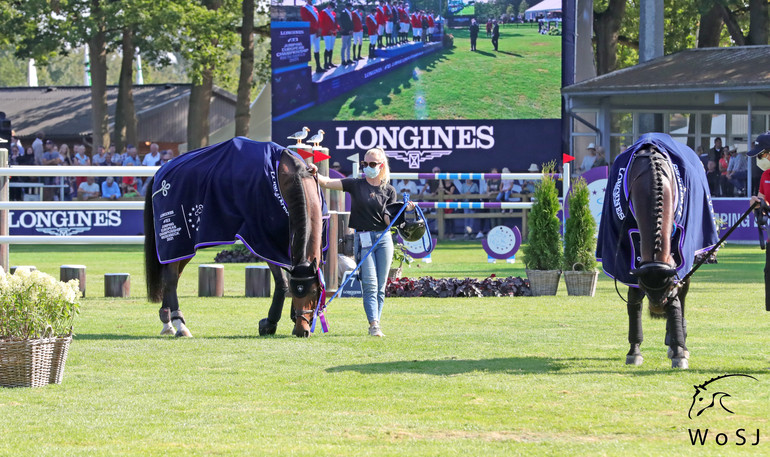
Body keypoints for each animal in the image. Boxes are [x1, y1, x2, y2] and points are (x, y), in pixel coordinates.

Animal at [143, 137, 324, 336]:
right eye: (298, 291)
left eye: (314, 292)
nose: (302, 330)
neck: (290, 175)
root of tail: (161, 172)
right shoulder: (265, 240)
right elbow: (281, 282)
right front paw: (269, 323)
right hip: (178, 239)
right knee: (171, 278)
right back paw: (178, 323)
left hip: (187, 246)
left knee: (173, 276)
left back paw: (167, 320)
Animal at [596, 134, 716, 368]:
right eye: (645, 285)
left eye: (668, 285)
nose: (658, 309)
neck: (651, 179)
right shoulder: (628, 256)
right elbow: (634, 299)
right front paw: (634, 350)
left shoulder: (680, 255)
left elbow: (678, 297)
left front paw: (678, 349)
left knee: (684, 294)